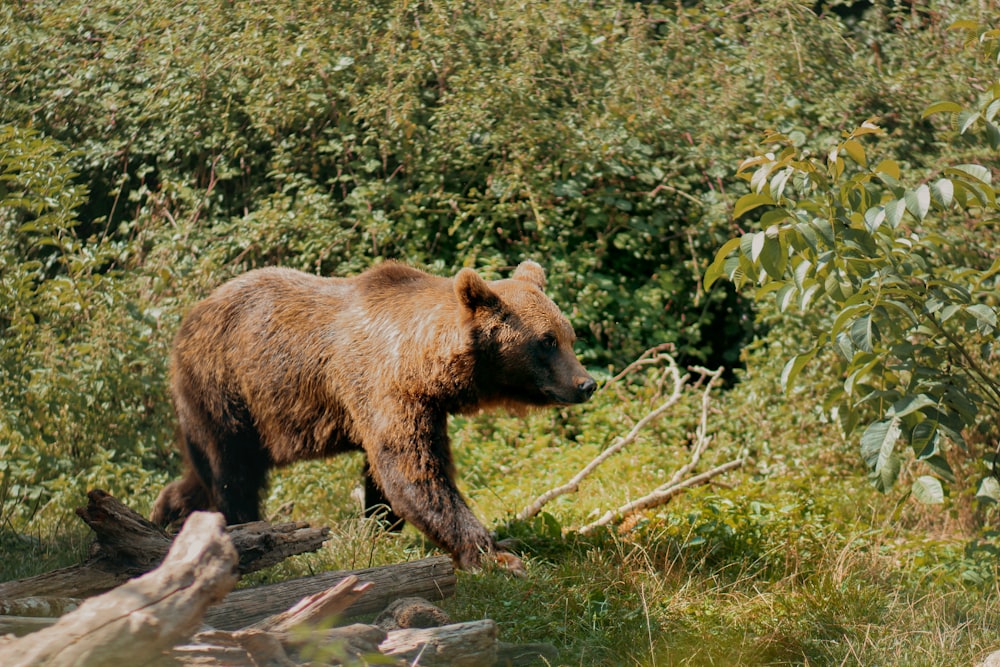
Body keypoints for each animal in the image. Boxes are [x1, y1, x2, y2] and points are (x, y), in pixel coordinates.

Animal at [152, 258, 596, 572]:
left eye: (569, 336)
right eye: (547, 341)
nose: (586, 383)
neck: (424, 364)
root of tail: (190, 315)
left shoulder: (423, 407)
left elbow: (392, 474)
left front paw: (381, 529)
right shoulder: (383, 388)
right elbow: (413, 473)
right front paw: (494, 554)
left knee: (203, 472)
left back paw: (167, 513)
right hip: (223, 388)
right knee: (232, 471)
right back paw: (243, 529)